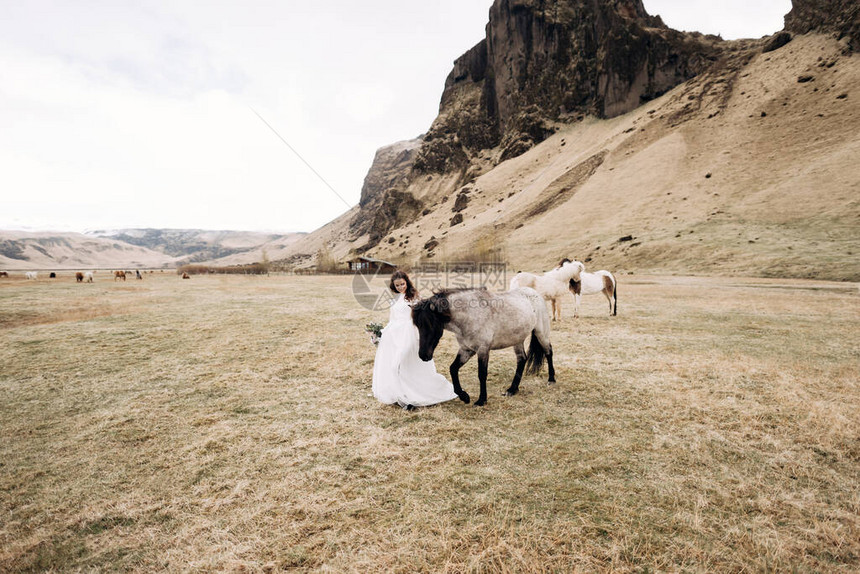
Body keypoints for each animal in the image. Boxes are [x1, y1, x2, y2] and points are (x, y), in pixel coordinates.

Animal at [412, 288, 556, 410]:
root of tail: (534, 293)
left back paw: (551, 380)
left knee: (548, 351)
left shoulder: (482, 350)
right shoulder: (466, 350)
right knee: (522, 359)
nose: (423, 355)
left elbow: (481, 374)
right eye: (418, 326)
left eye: (431, 325)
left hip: (541, 333)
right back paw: (512, 390)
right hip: (517, 340)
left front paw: (481, 400)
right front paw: (464, 397)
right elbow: (453, 369)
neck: (471, 315)